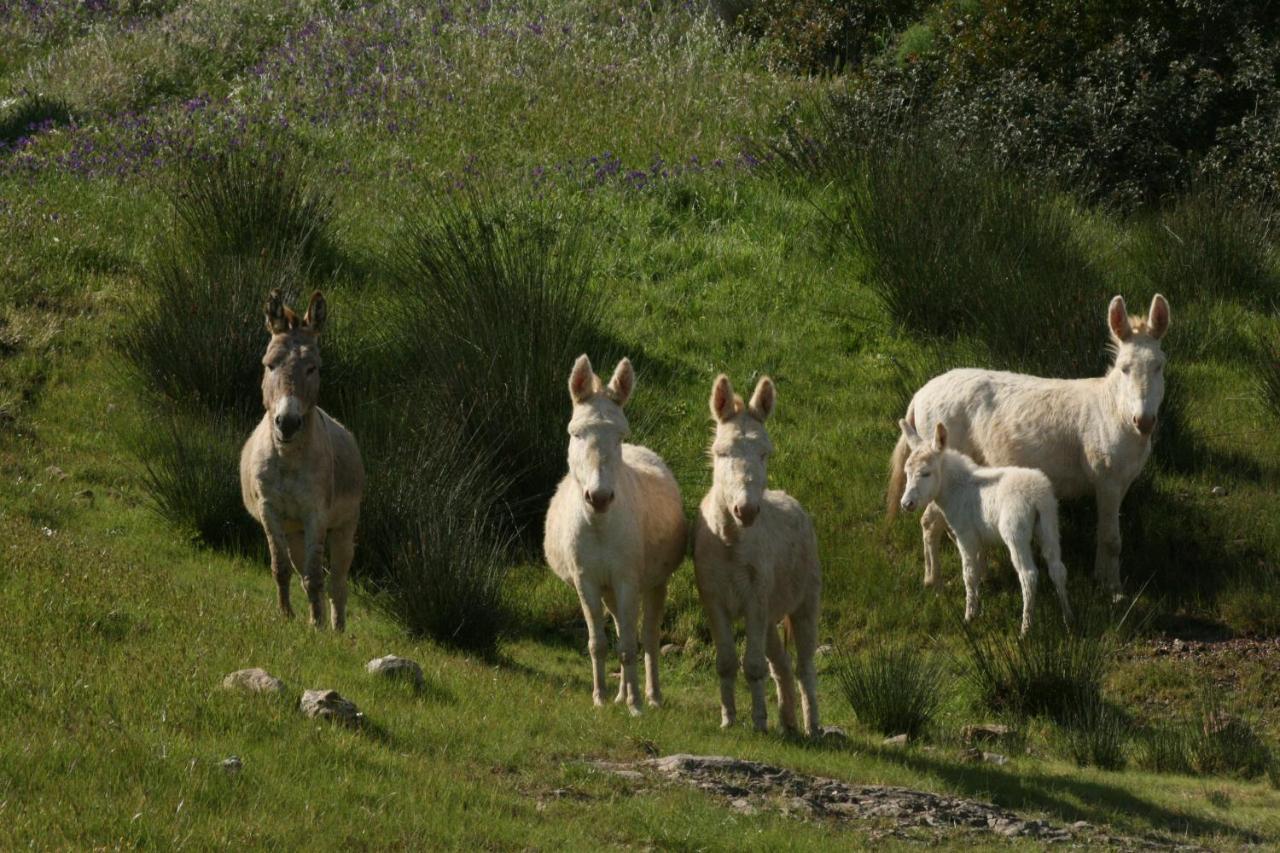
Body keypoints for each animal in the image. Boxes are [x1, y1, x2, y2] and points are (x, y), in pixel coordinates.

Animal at [240, 289, 363, 627]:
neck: (288, 458)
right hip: (293, 529)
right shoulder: (270, 510)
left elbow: (315, 577)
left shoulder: (316, 514)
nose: (288, 423)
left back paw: (337, 628)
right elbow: (281, 569)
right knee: (299, 566)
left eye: (313, 368)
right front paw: (286, 616)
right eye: (269, 365)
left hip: (344, 527)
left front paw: (317, 627)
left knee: (337, 582)